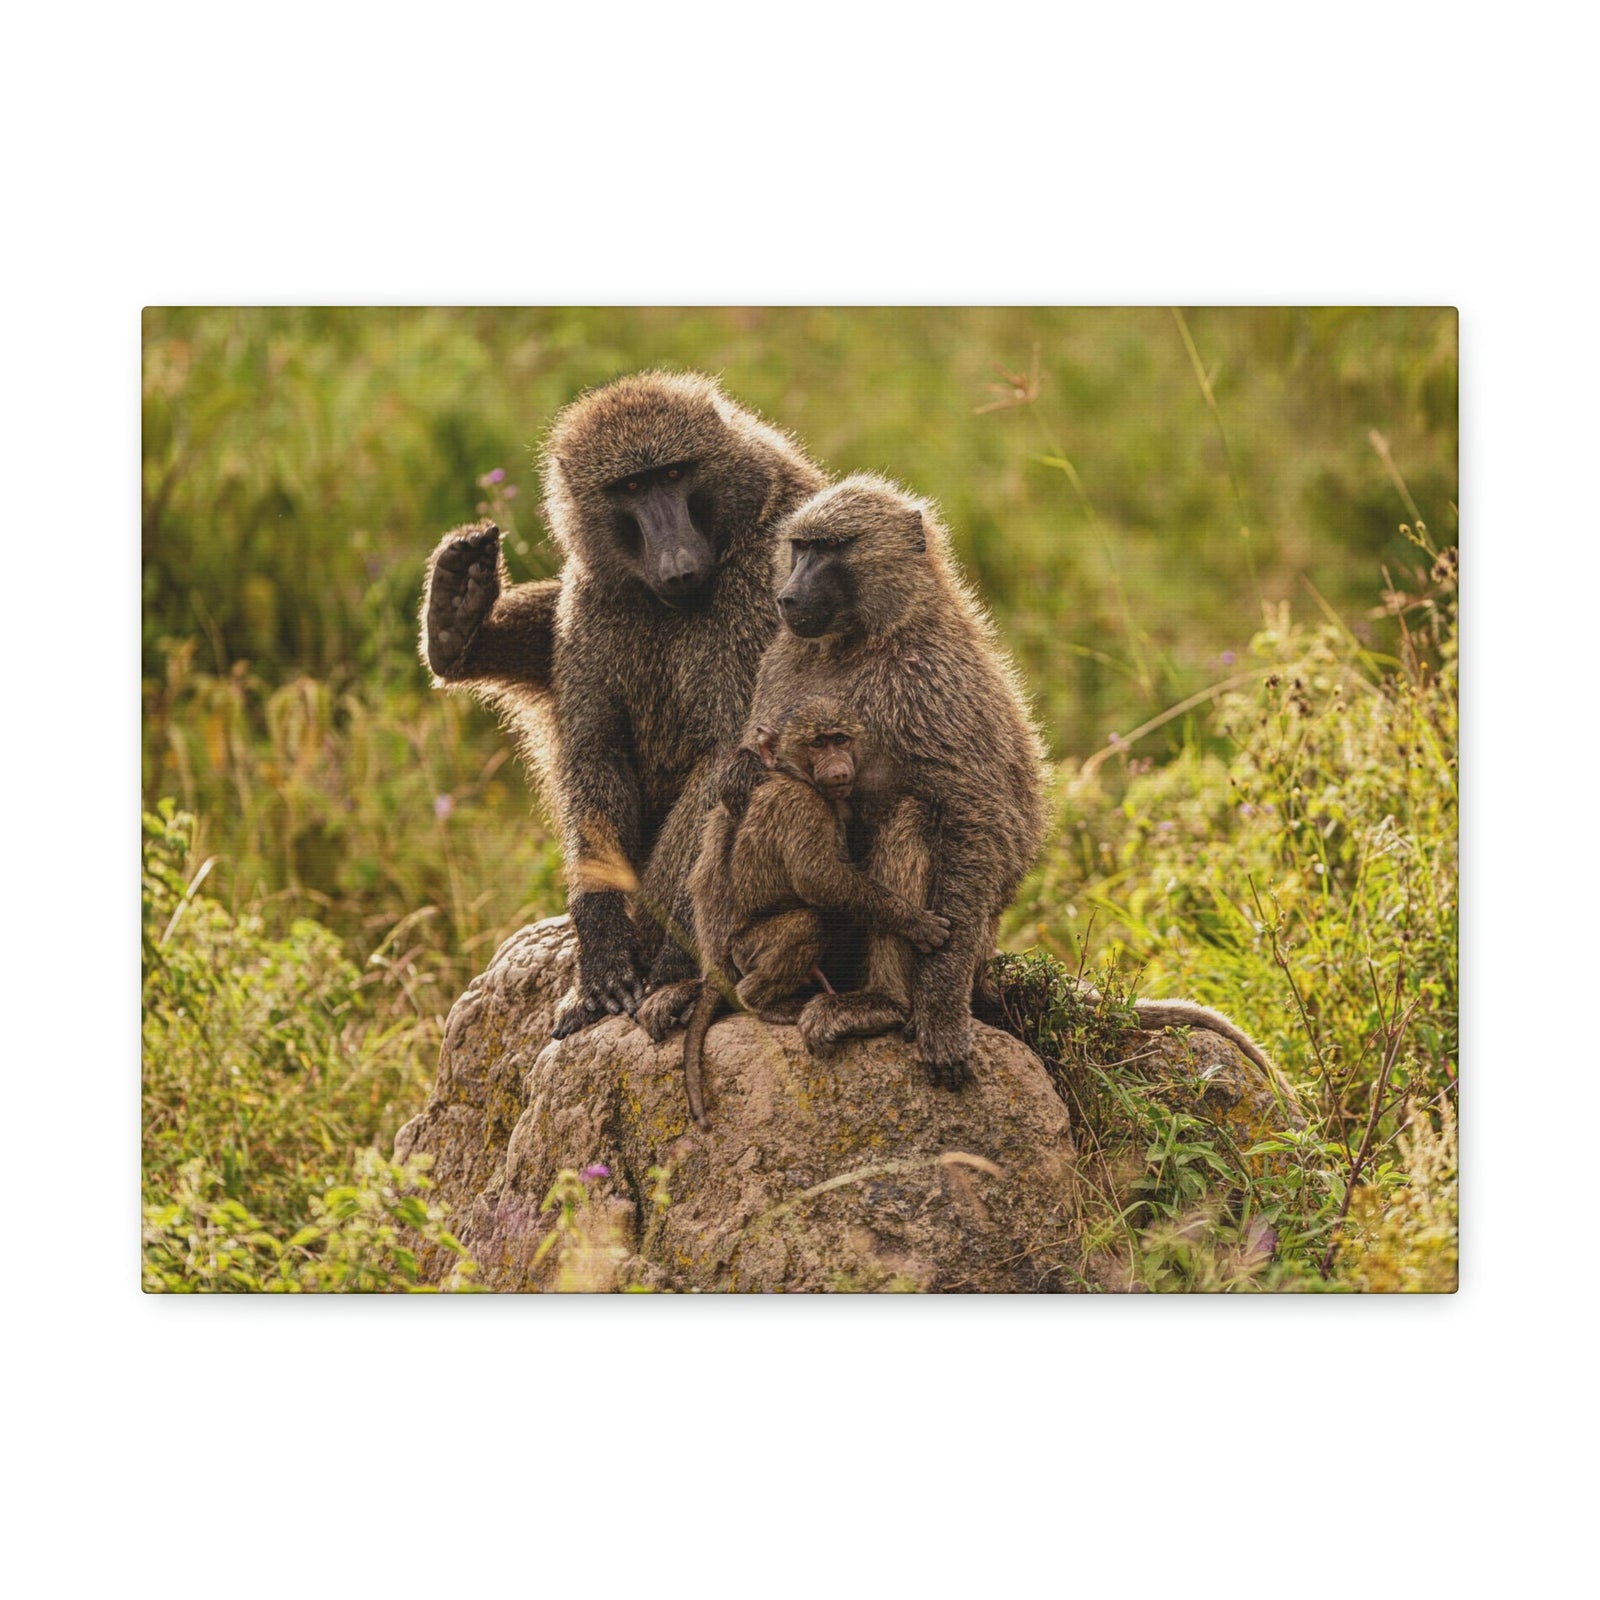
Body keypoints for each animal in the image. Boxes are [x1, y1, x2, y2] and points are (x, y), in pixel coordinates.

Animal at [418, 372, 828, 1041]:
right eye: (631, 487)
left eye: (674, 475)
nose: (678, 563)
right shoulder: (597, 597)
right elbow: (595, 749)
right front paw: (605, 951)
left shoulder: (765, 590)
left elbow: (729, 763)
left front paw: (664, 968)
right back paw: (456, 626)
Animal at [671, 702, 951, 1128]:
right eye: (817, 743)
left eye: (840, 739)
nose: (837, 767)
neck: (795, 775)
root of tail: (723, 958)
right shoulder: (800, 805)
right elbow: (818, 879)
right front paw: (912, 920)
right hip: (747, 950)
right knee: (806, 924)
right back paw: (762, 1003)